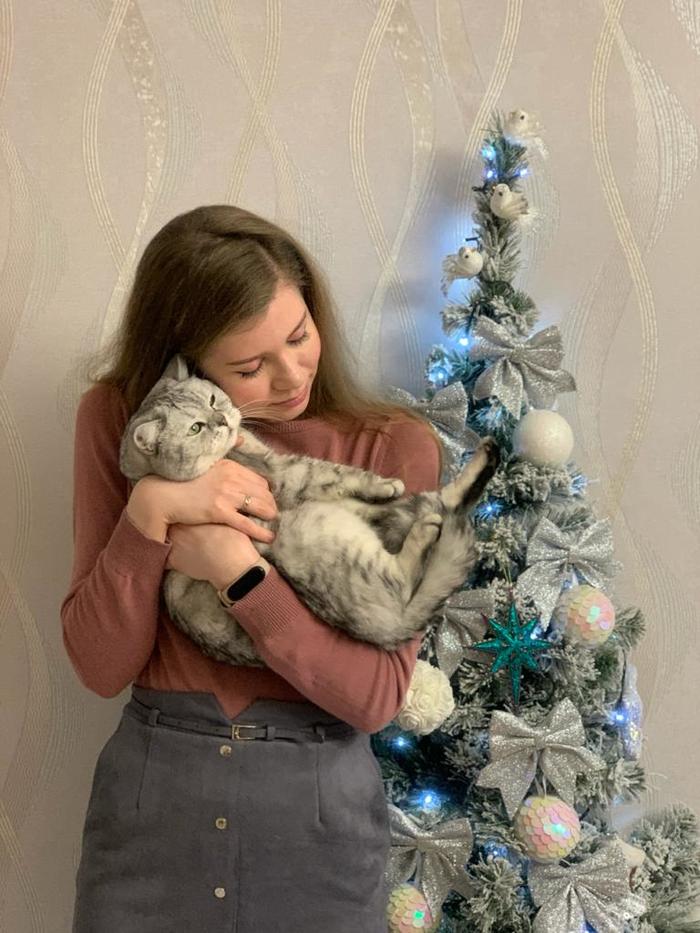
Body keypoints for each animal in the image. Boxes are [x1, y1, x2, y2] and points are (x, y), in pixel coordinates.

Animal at [118, 354, 500, 667]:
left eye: (212, 399)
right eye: (195, 428)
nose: (222, 420)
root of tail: (395, 629)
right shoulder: (285, 473)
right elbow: (336, 472)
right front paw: (385, 483)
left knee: (440, 502)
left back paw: (486, 456)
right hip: (313, 531)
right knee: (408, 571)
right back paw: (427, 525)